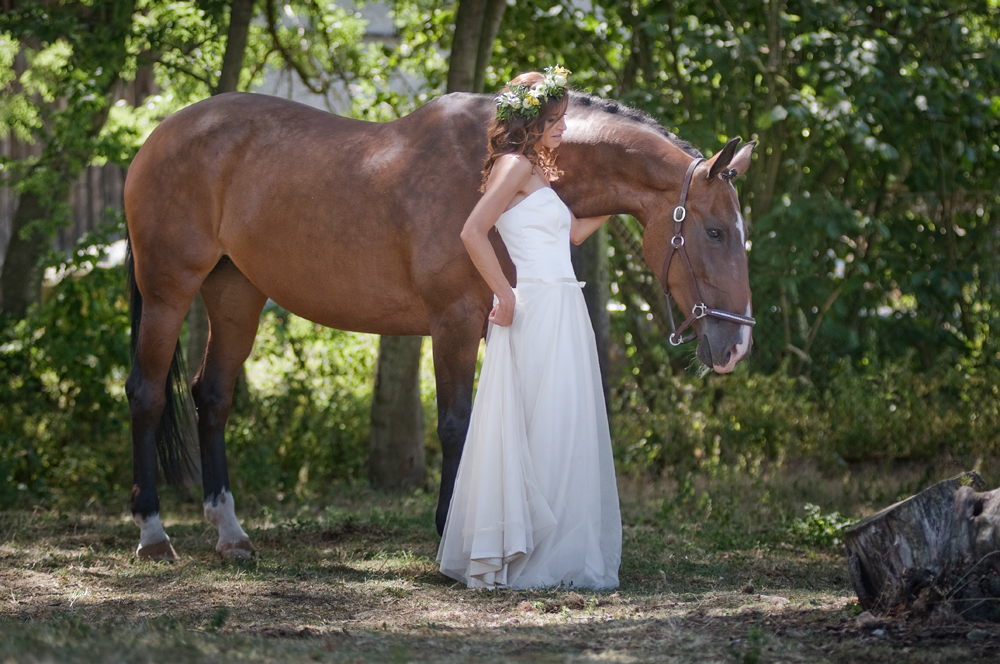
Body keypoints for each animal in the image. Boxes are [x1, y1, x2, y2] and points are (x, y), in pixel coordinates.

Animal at [121, 91, 752, 560]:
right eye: (715, 231)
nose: (737, 344)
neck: (492, 164)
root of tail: (159, 135)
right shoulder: (454, 322)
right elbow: (456, 426)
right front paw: (453, 529)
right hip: (168, 291)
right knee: (147, 394)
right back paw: (153, 533)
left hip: (235, 294)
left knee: (212, 397)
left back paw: (230, 532)